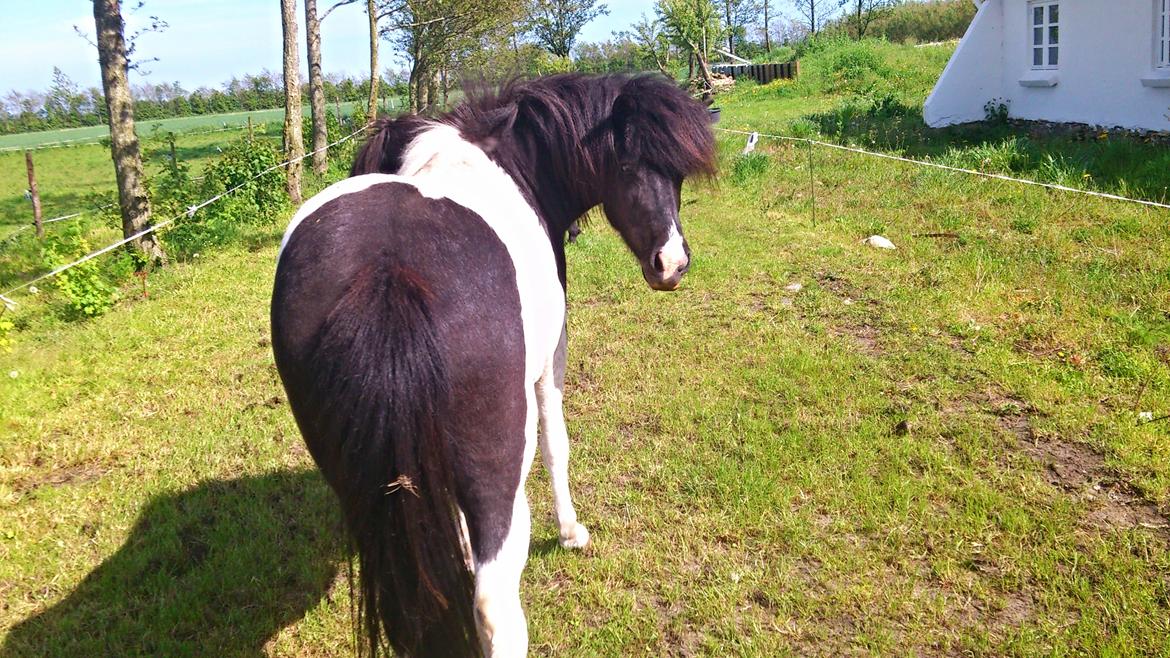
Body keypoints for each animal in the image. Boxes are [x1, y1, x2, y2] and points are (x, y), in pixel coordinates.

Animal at [270, 72, 716, 655]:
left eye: (677, 173)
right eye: (627, 165)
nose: (673, 263)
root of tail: (388, 275)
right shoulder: (550, 361)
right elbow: (557, 446)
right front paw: (571, 533)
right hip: (499, 477)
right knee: (495, 603)